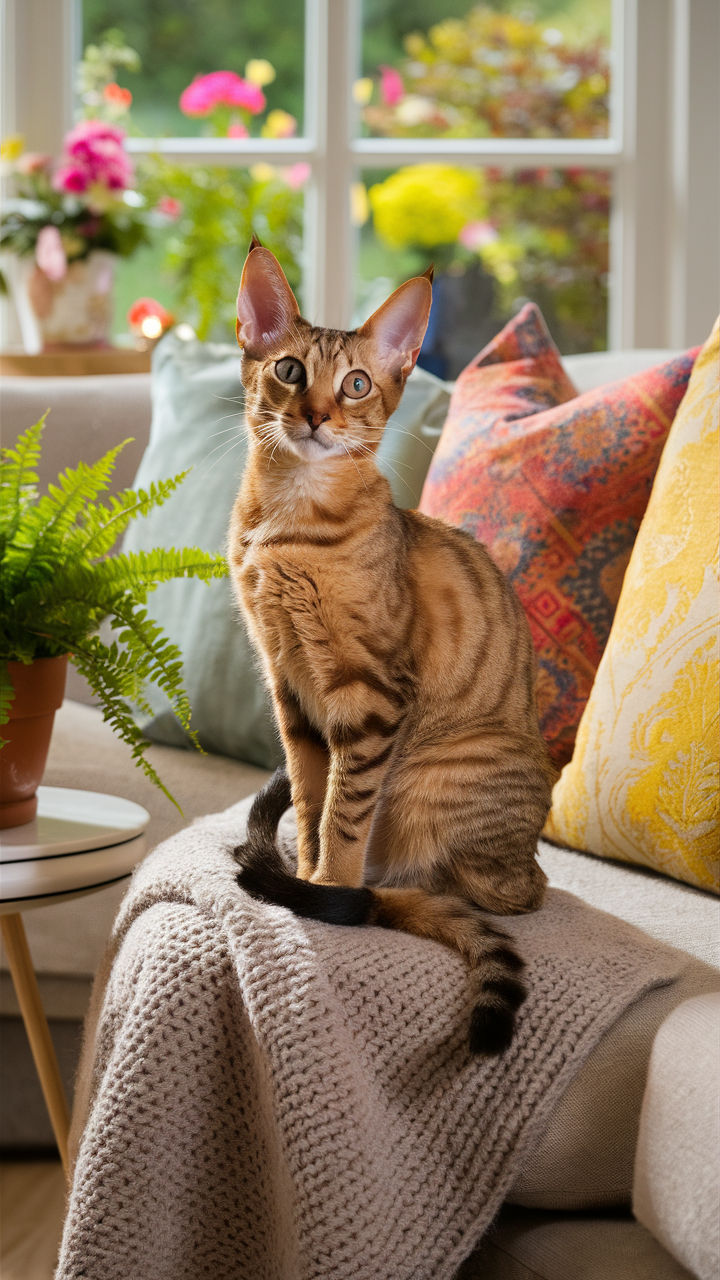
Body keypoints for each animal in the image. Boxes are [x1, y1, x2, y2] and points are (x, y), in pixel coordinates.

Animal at [226, 238, 550, 1049]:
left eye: (356, 384)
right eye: (289, 371)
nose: (315, 416)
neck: (286, 531)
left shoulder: (369, 697)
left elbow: (345, 816)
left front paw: (324, 892)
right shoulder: (290, 687)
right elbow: (310, 800)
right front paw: (305, 875)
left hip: (436, 777)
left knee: (474, 890)